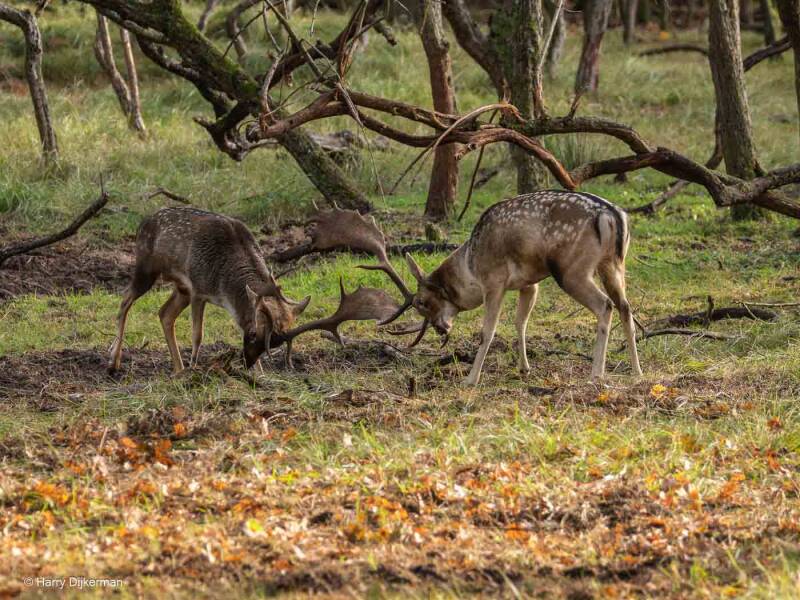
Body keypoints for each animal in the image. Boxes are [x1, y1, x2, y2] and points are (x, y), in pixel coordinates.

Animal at [108, 207, 311, 374]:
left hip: (182, 288)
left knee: (164, 313)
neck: (223, 289)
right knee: (125, 298)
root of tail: (141, 224)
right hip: (146, 268)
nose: (248, 362)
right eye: (254, 334)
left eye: (275, 344)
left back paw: (178, 370)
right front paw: (194, 366)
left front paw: (260, 374)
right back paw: (113, 361)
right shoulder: (198, 290)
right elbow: (197, 335)